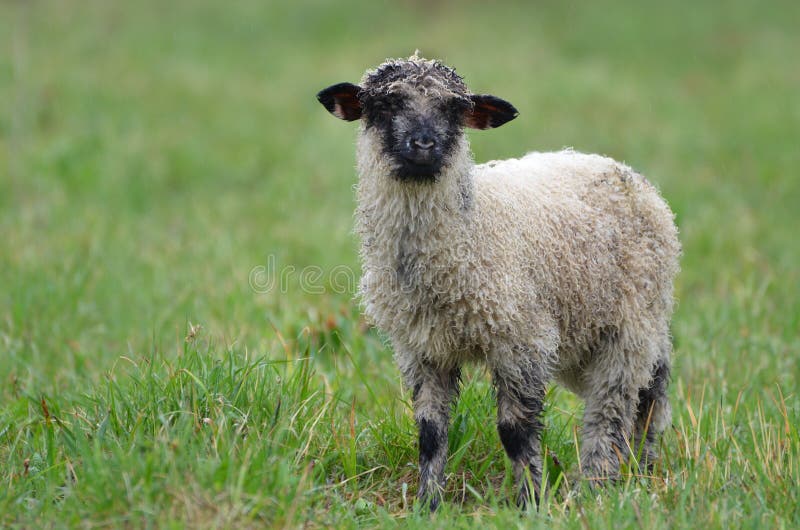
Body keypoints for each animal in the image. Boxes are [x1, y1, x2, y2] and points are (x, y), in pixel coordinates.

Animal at [317, 54, 680, 511]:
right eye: (382, 106)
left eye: (455, 110)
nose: (424, 145)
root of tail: (630, 175)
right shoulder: (422, 348)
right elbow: (430, 432)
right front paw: (428, 504)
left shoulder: (521, 340)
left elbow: (515, 432)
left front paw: (531, 503)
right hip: (593, 335)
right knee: (645, 395)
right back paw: (635, 474)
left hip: (631, 324)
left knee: (620, 408)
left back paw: (599, 487)